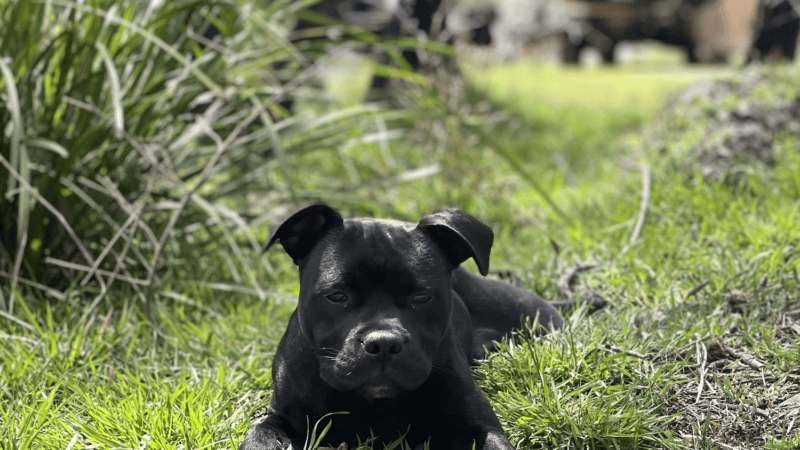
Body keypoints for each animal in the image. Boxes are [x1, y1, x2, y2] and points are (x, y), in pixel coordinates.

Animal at [242, 205, 564, 450]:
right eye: (337, 296)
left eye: (421, 298)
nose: (384, 343)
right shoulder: (280, 418)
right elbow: (258, 437)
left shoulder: (478, 426)